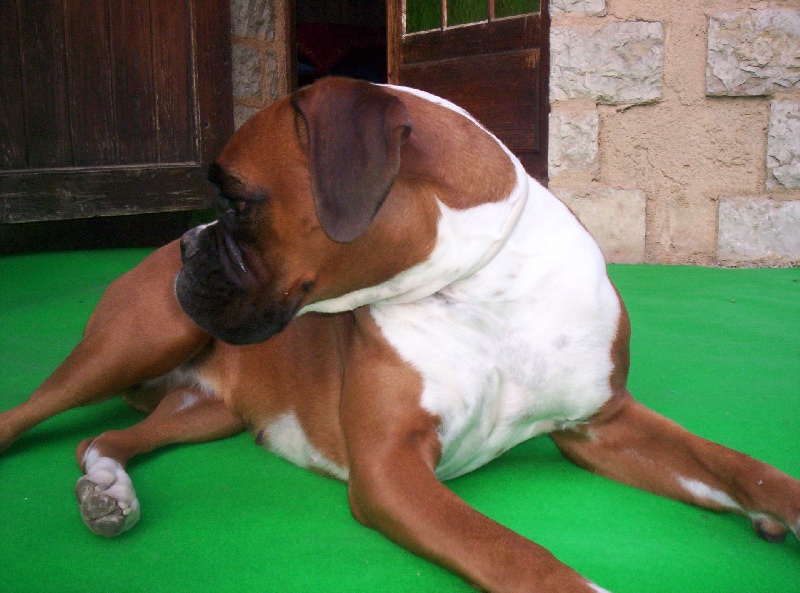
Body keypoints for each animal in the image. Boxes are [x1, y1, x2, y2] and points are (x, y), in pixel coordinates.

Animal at [0, 77, 797, 593]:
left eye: (237, 201)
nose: (188, 245)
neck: (484, 292)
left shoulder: (603, 426)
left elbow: (742, 467)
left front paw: (778, 505)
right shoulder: (391, 470)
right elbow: (513, 552)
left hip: (206, 410)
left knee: (101, 439)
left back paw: (109, 490)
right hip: (131, 343)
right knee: (28, 415)